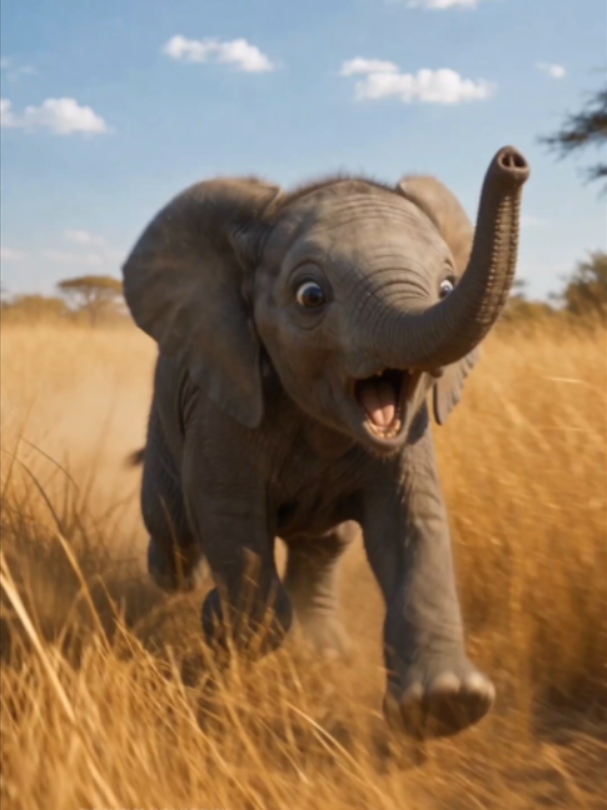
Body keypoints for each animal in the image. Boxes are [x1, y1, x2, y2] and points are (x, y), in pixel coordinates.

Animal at [122, 145, 530, 739]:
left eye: (447, 288)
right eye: (310, 296)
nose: (511, 161)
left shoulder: (409, 431)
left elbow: (414, 519)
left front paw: (445, 706)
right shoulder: (223, 403)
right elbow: (228, 515)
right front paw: (220, 624)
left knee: (326, 542)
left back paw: (325, 651)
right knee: (168, 519)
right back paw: (179, 581)